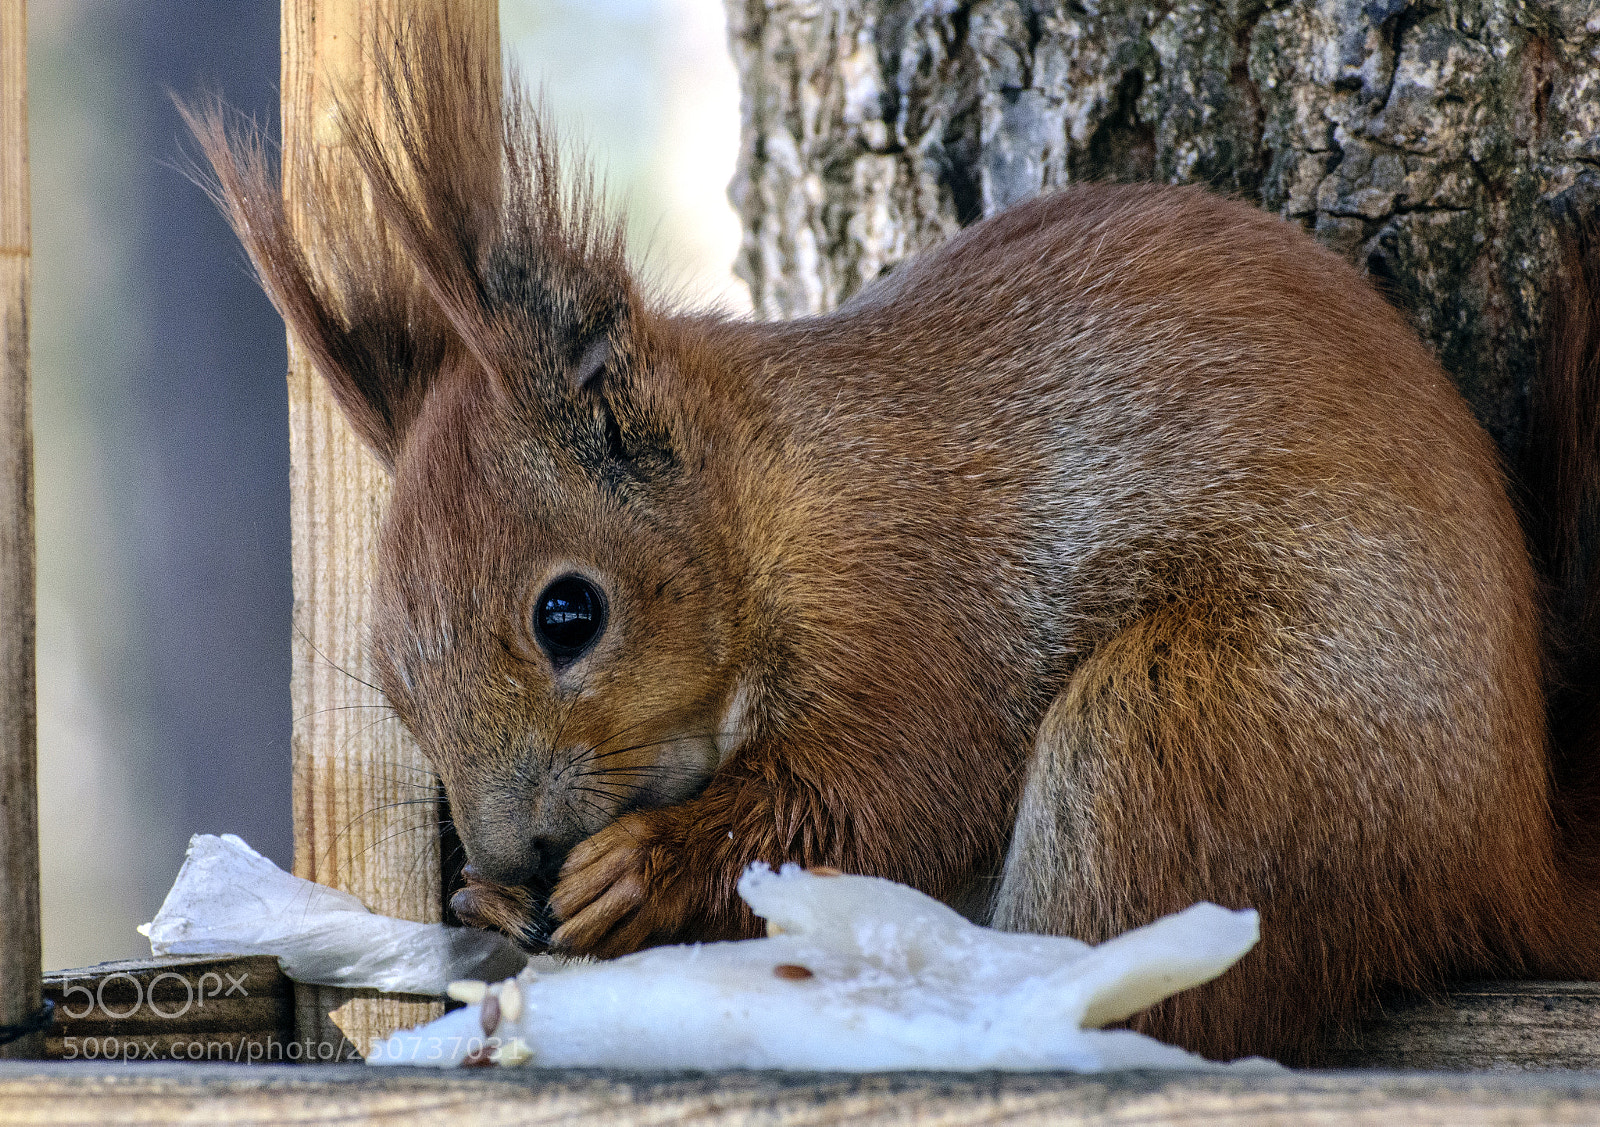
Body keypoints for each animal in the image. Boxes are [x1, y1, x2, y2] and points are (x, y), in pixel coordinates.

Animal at [185, 17, 1600, 1064]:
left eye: (568, 613)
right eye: (397, 687)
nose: (513, 854)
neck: (776, 502)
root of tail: (1505, 854)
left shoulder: (919, 605)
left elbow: (889, 792)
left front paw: (643, 865)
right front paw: (480, 904)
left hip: (1188, 740)